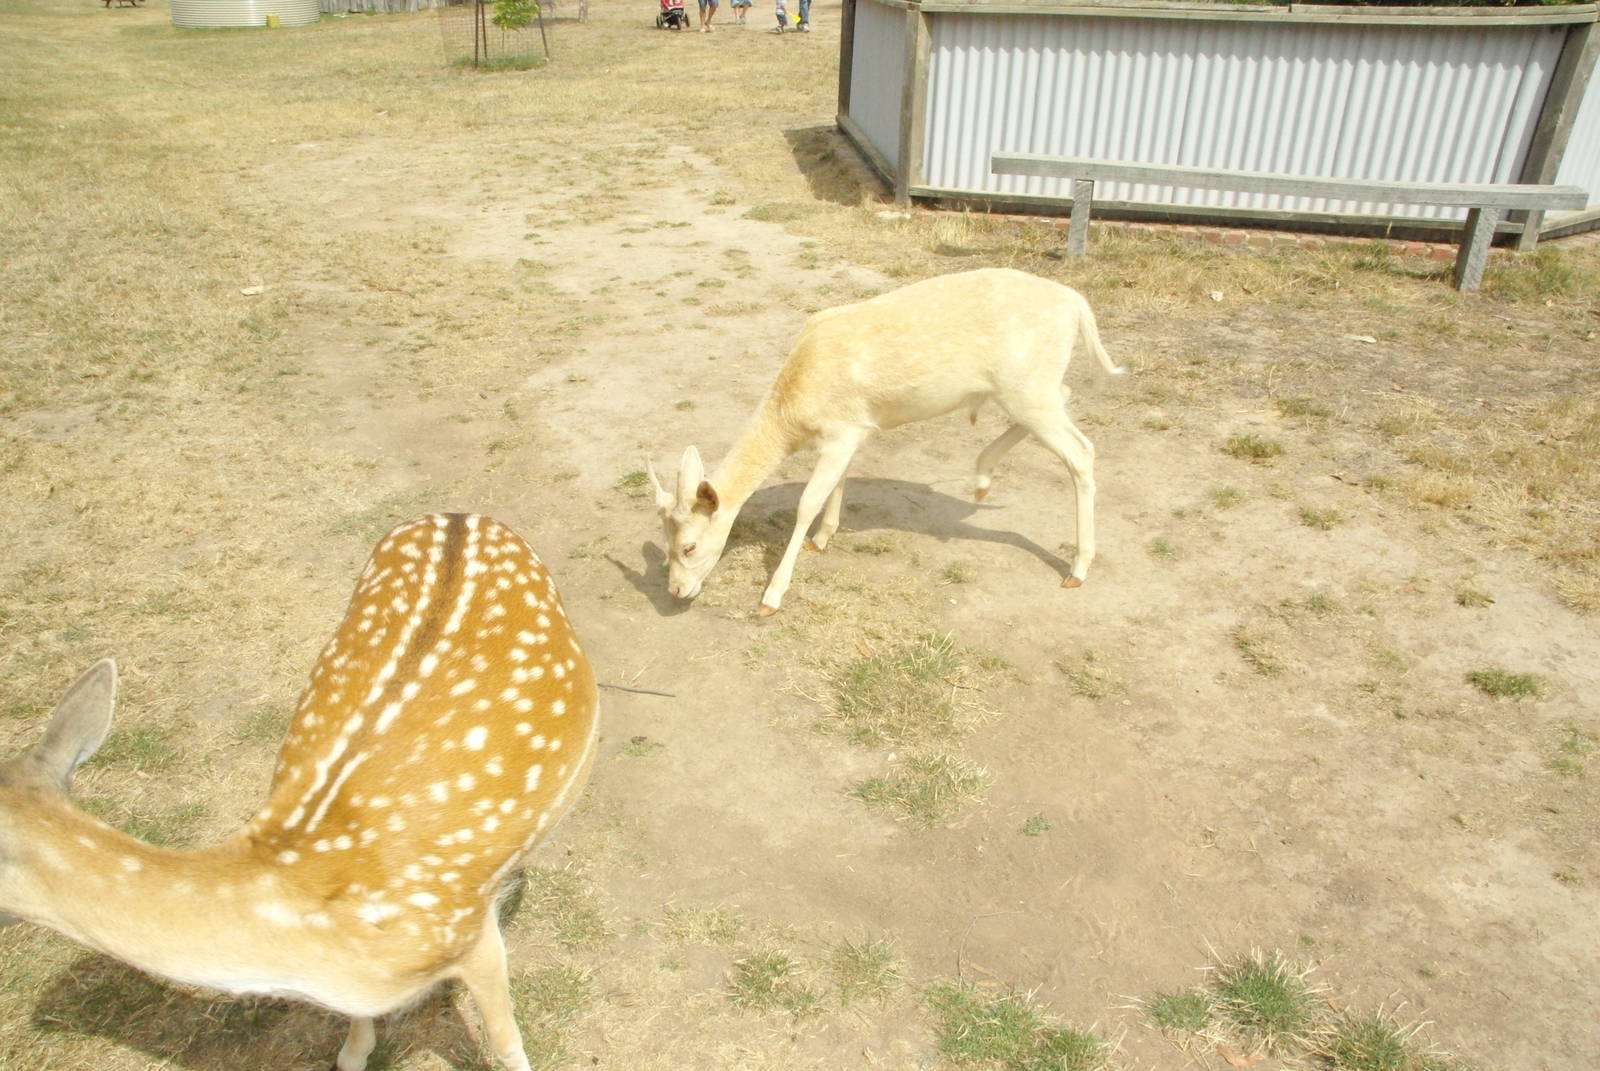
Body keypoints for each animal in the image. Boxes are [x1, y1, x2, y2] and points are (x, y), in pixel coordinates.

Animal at [649, 267, 1124, 616]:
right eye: (664, 541)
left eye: (689, 546)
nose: (675, 591)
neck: (793, 414)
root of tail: (1078, 304)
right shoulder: (854, 431)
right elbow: (837, 485)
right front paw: (823, 539)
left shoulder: (840, 431)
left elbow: (806, 502)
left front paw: (771, 597)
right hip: (1032, 387)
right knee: (1067, 397)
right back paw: (982, 477)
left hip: (1027, 386)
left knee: (1082, 450)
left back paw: (1078, 567)